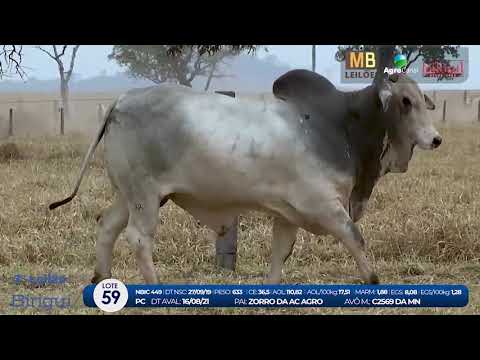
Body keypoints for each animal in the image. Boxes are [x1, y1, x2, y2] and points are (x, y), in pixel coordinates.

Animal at [49, 69, 442, 284]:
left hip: (129, 194)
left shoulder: (288, 215)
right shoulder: (326, 206)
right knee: (138, 238)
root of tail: (122, 99)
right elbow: (356, 240)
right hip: (145, 196)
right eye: (405, 101)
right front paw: (373, 282)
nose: (435, 139)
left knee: (107, 227)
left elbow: (280, 254)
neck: (342, 124)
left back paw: (102, 279)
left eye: (422, 98)